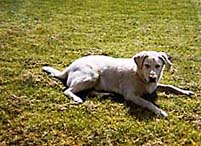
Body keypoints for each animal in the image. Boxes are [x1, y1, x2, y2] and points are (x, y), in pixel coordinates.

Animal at [42, 50, 193, 117]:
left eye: (158, 66)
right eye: (146, 65)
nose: (152, 78)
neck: (139, 75)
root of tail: (68, 67)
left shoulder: (154, 86)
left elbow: (171, 86)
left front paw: (185, 91)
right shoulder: (131, 95)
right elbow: (148, 103)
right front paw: (159, 111)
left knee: (90, 91)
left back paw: (106, 94)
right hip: (92, 75)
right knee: (68, 90)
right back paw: (77, 98)